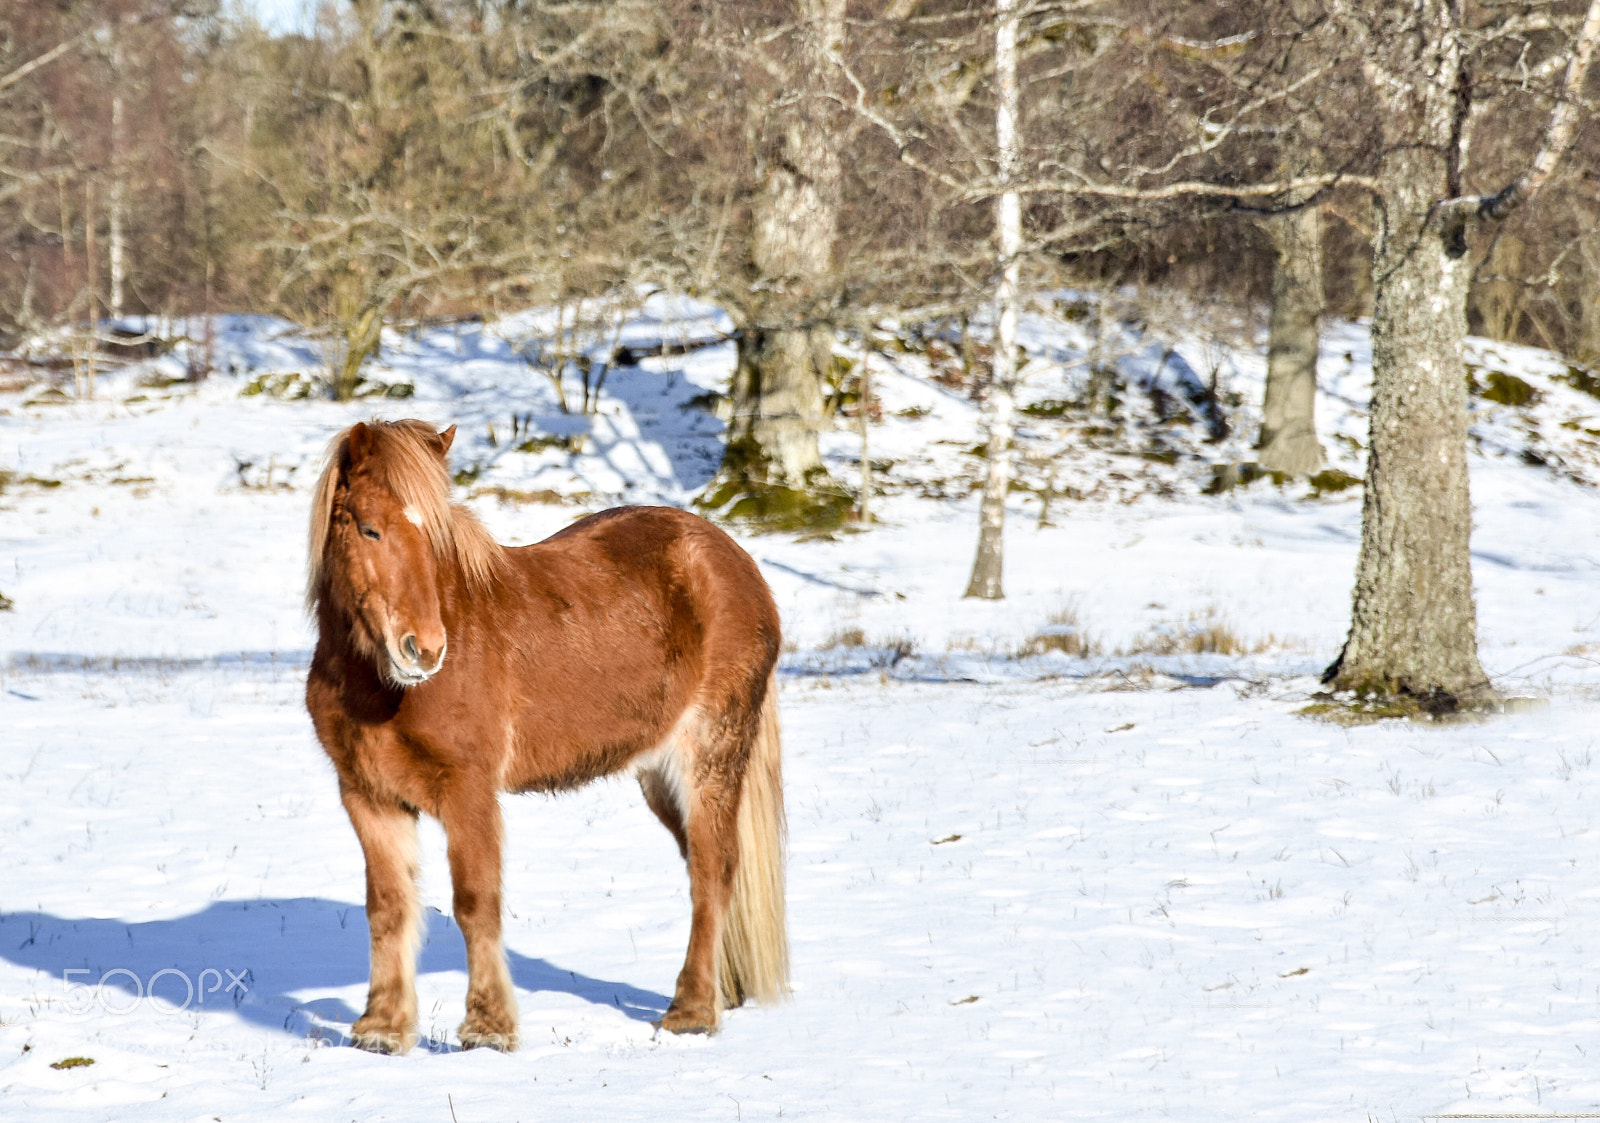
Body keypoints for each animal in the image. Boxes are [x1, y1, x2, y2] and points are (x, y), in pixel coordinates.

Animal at [304, 419, 788, 1053]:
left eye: (436, 537)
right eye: (369, 528)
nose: (425, 650)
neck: (380, 689)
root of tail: (737, 562)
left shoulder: (469, 793)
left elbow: (475, 901)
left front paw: (487, 1028)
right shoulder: (369, 796)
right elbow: (387, 907)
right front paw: (382, 1028)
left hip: (709, 757)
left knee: (713, 870)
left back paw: (691, 1012)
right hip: (659, 777)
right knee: (701, 865)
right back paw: (721, 993)